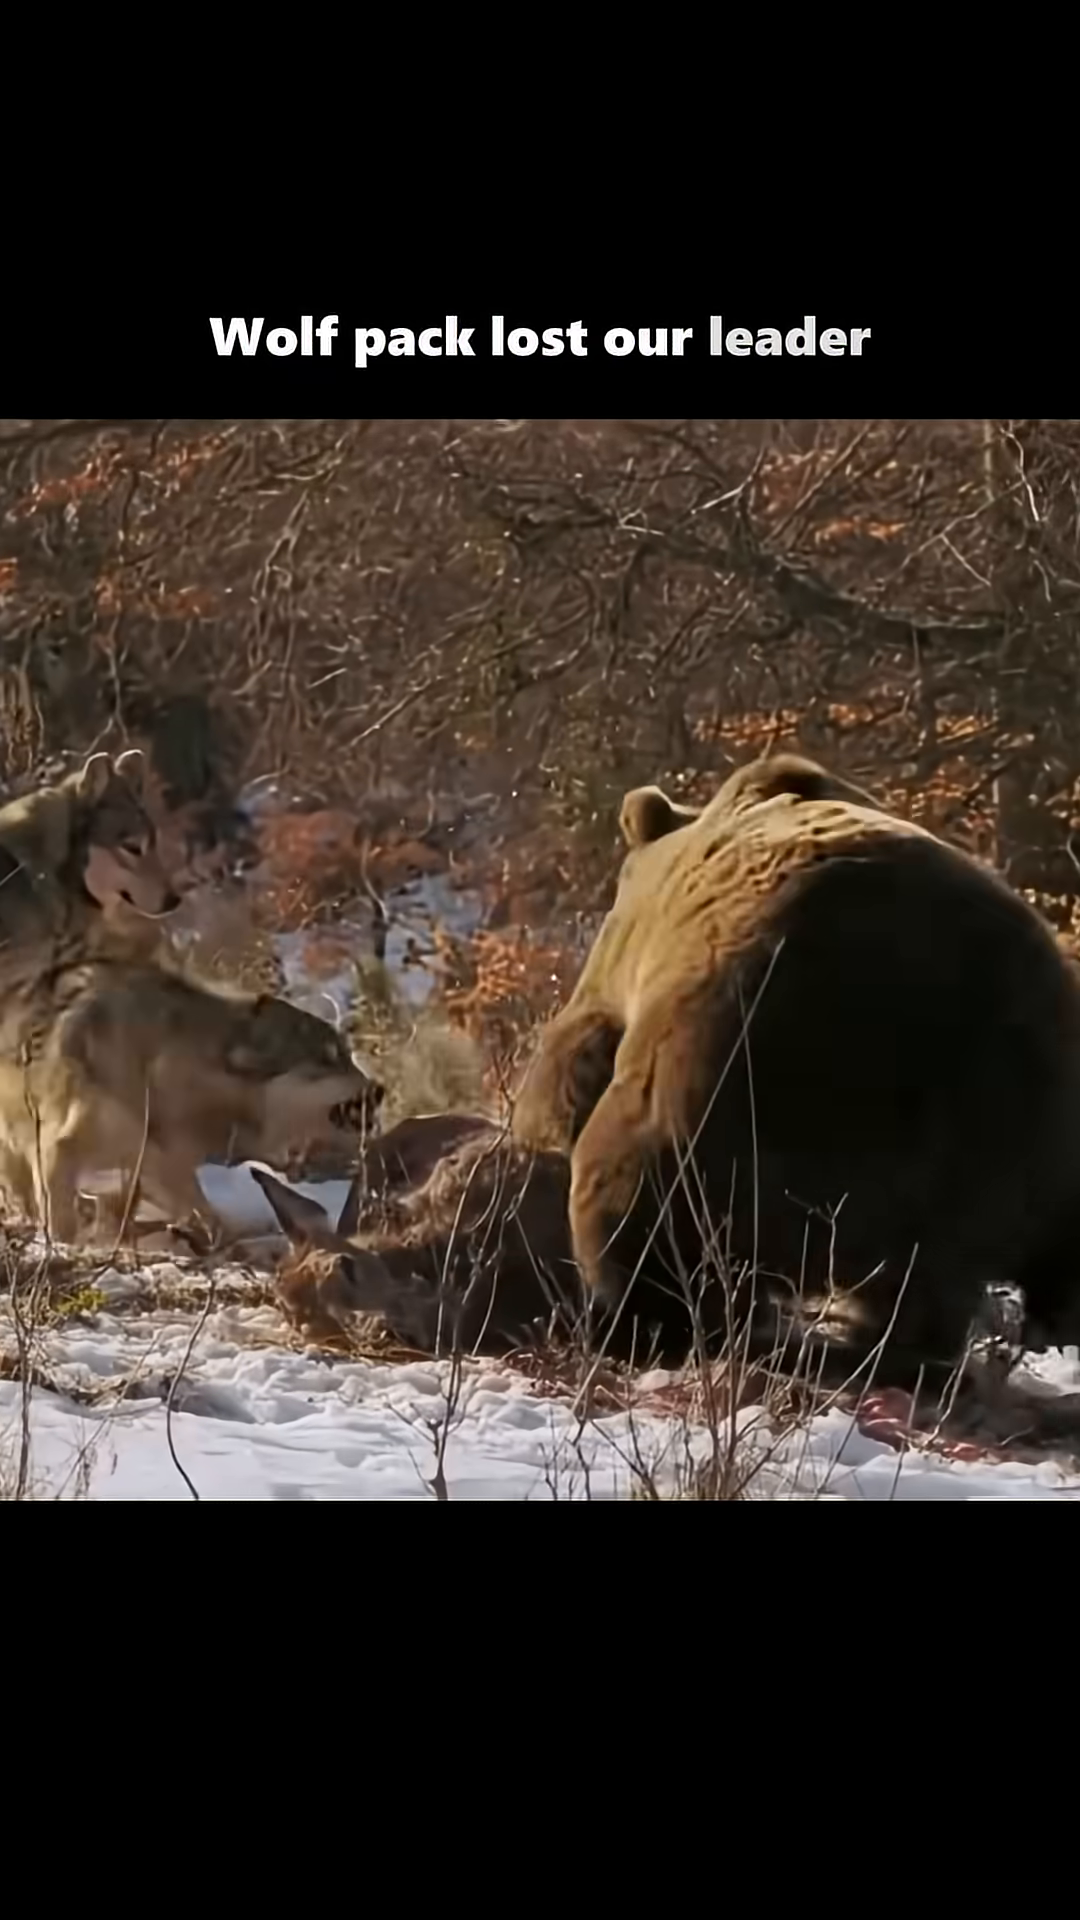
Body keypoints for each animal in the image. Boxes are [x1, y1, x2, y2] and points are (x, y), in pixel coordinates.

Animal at [0, 959, 384, 1246]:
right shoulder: (59, 1148)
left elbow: (202, 1212)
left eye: (347, 1054)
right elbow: (62, 1221)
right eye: (331, 1057)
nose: (380, 1089)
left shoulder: (153, 1163)